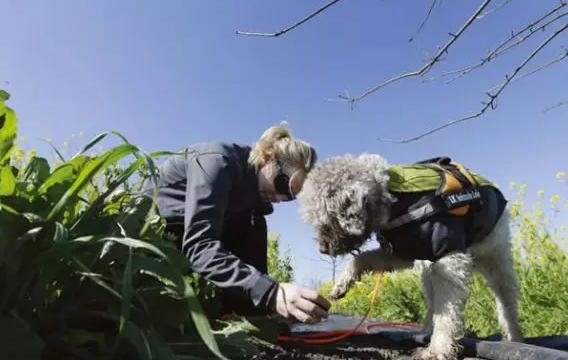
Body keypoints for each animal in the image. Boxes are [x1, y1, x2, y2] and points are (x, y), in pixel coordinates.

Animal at [298, 154, 524, 360]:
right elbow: (361, 259)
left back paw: (514, 341)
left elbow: (447, 312)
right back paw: (425, 332)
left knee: (506, 304)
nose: (322, 249)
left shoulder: (449, 256)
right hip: (428, 270)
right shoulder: (401, 252)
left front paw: (439, 349)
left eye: (328, 220)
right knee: (433, 301)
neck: (394, 199)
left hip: (496, 259)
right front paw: (342, 284)